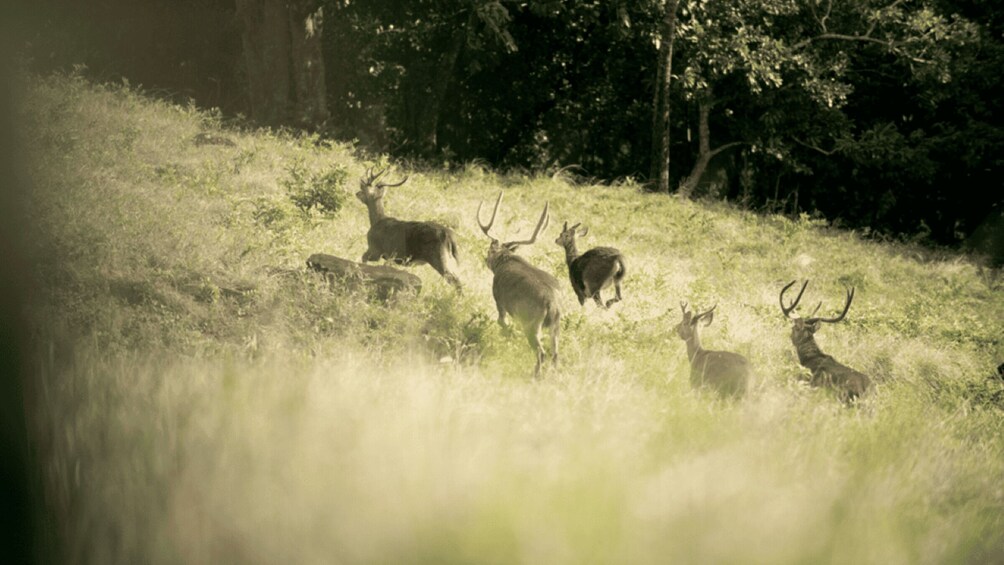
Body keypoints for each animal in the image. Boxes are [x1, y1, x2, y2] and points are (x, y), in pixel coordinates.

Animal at [475, 192, 562, 377]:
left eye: (489, 250)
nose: (486, 260)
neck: (506, 260)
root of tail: (552, 304)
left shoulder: (499, 298)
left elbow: (501, 322)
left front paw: (508, 336)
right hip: (556, 326)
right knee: (555, 354)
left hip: (531, 322)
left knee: (541, 353)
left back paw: (535, 375)